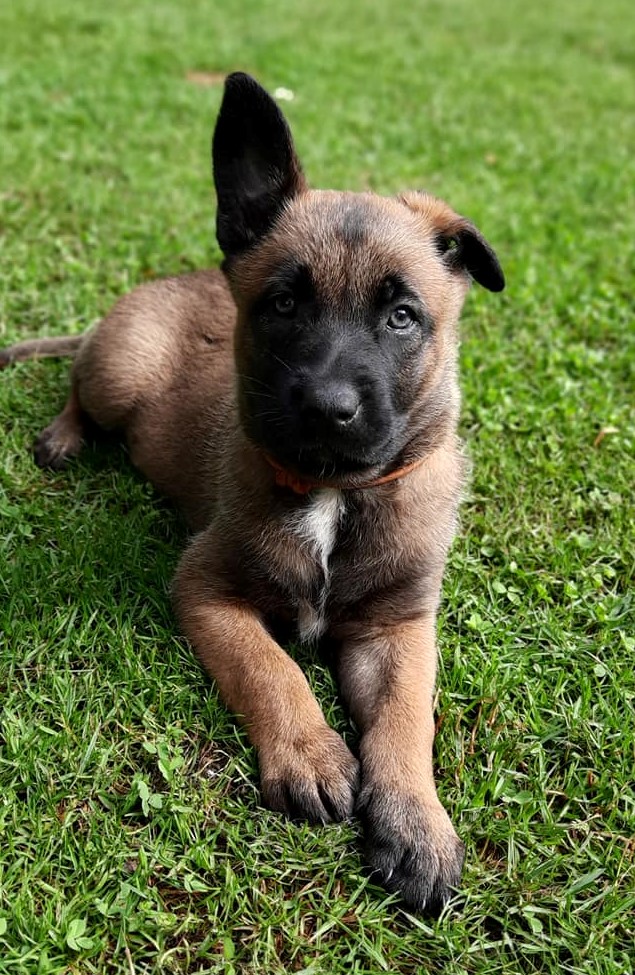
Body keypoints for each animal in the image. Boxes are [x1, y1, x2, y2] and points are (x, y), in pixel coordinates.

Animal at [1, 72, 504, 913]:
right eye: (284, 304)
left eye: (402, 317)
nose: (328, 407)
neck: (332, 492)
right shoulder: (207, 590)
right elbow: (271, 669)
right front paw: (308, 751)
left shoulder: (399, 627)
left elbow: (405, 720)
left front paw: (416, 822)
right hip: (116, 376)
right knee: (77, 385)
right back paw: (63, 435)